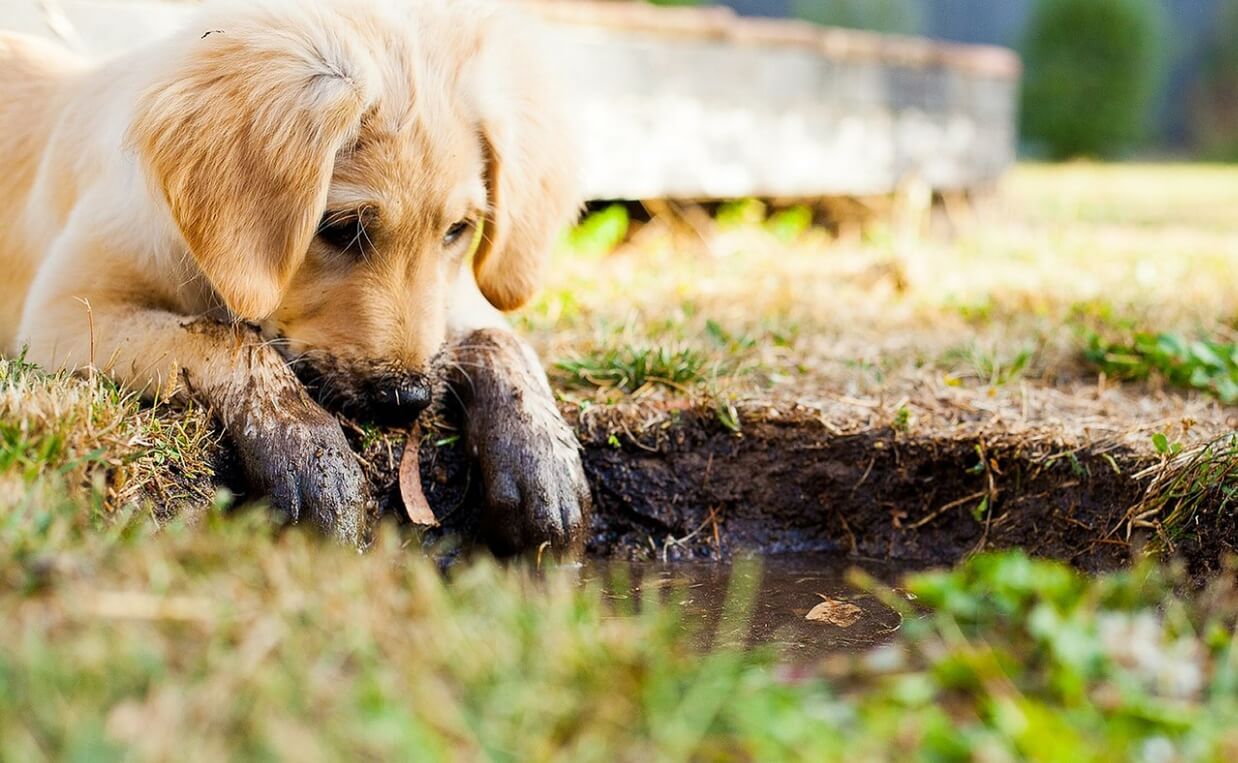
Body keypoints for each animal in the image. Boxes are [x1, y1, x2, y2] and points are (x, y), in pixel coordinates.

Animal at [0, 0, 589, 552]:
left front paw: (541, 457)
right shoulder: (63, 316)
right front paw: (310, 455)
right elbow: (227, 339)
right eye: (342, 228)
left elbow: (498, 337)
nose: (408, 401)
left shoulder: (449, 299)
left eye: (457, 231)